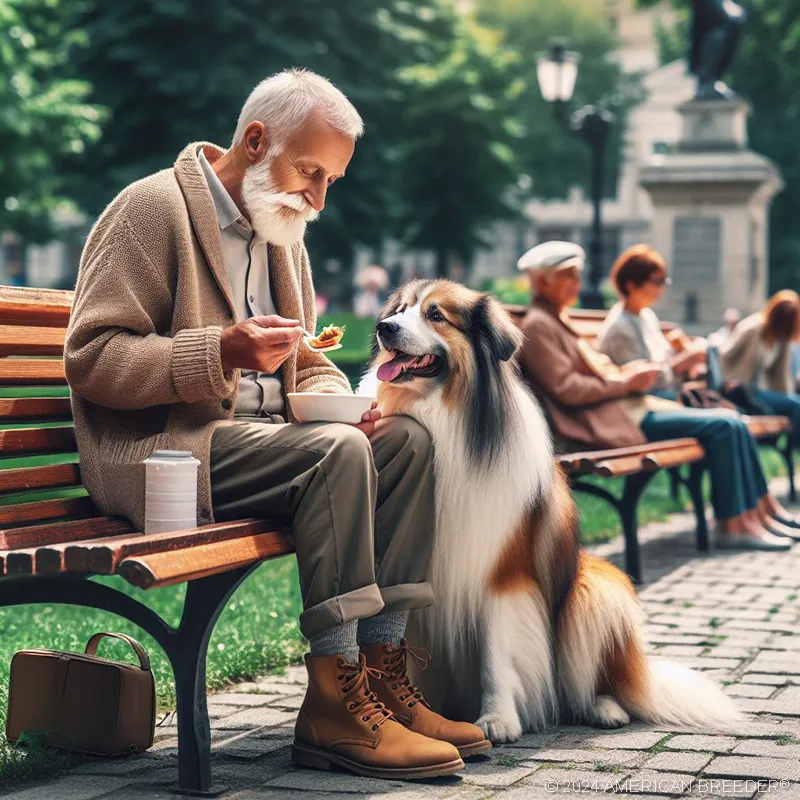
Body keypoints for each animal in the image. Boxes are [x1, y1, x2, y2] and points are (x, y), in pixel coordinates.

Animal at [366, 280, 740, 744]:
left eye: (435, 315)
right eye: (399, 310)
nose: (383, 328)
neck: (441, 415)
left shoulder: (502, 572)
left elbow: (496, 654)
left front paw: (498, 719)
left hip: (595, 590)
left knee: (583, 688)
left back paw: (604, 708)